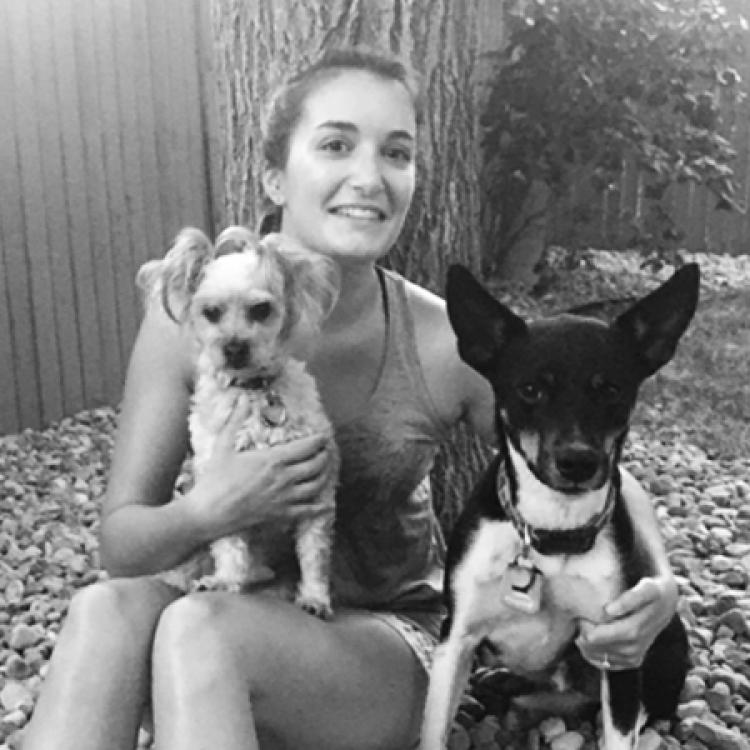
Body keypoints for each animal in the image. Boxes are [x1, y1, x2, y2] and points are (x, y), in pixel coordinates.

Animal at [136, 226, 340, 618]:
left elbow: (314, 555)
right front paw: (224, 581)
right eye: (210, 312)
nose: (233, 348)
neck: (256, 391)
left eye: (261, 309)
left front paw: (315, 598)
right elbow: (230, 546)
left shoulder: (317, 496)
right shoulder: (225, 498)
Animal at [420, 263, 699, 749]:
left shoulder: (617, 650)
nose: (577, 462)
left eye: (611, 389)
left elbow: (619, 727)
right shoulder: (455, 637)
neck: (553, 530)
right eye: (530, 389)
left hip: (662, 638)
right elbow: (434, 728)